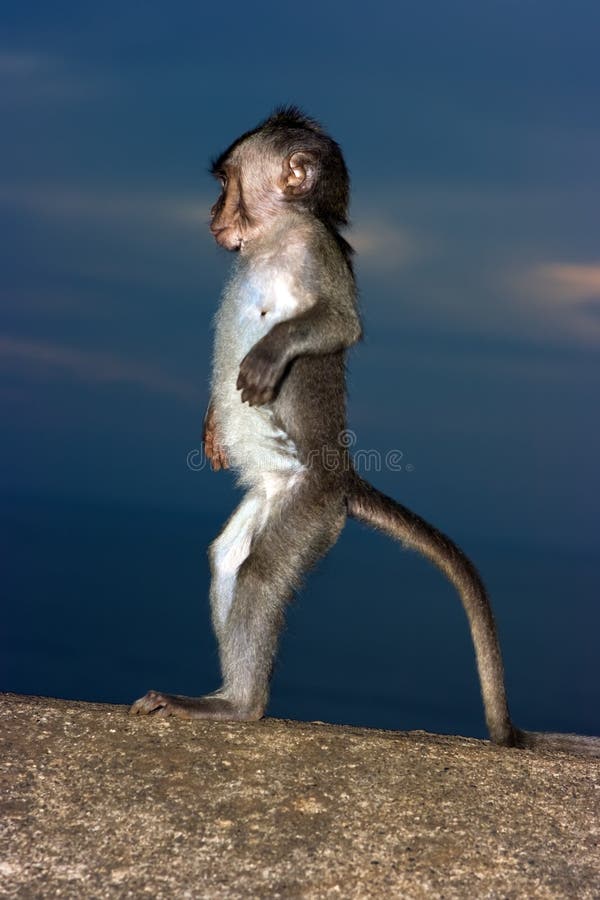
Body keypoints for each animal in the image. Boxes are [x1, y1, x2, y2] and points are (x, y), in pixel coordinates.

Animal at [131, 107, 599, 757]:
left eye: (226, 182)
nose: (211, 213)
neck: (274, 236)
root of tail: (343, 478)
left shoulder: (315, 249)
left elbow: (341, 323)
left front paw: (268, 355)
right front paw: (211, 427)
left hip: (310, 506)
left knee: (259, 572)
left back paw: (237, 706)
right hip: (277, 499)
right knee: (228, 559)